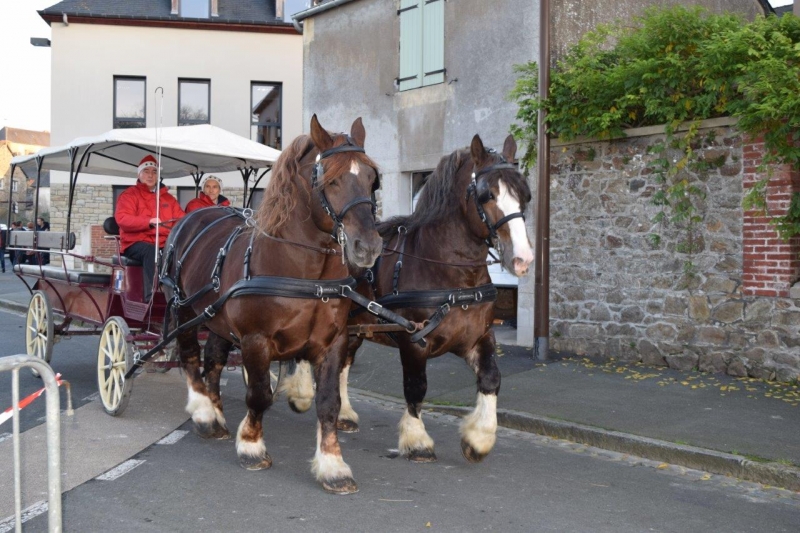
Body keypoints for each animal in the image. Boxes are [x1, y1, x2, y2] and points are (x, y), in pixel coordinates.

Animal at [162, 114, 382, 492]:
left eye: (371, 178)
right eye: (331, 179)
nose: (366, 246)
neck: (304, 273)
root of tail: (193, 217)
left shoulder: (333, 341)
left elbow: (328, 401)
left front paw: (333, 465)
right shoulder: (256, 340)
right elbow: (260, 394)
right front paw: (251, 445)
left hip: (215, 318)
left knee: (213, 361)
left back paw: (216, 411)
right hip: (183, 310)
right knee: (190, 358)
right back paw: (204, 413)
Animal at [284, 135, 536, 464]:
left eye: (524, 195)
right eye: (486, 195)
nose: (523, 258)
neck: (450, 272)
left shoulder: (478, 337)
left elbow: (492, 378)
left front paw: (479, 438)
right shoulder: (414, 340)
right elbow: (416, 387)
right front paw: (417, 440)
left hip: (354, 327)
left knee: (344, 362)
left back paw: (346, 414)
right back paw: (300, 393)